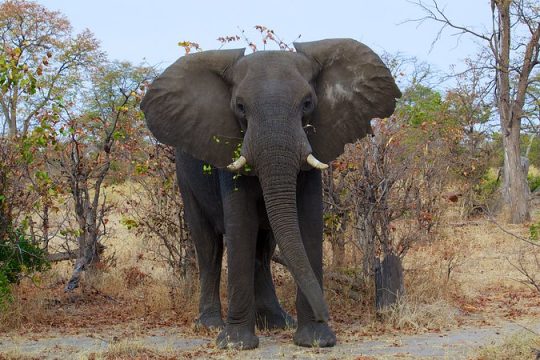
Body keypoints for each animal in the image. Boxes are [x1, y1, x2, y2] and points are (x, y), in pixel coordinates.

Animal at [139, 38, 400, 348]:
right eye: (240, 107)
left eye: (307, 103)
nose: (326, 314)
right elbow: (240, 227)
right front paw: (235, 344)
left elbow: (307, 223)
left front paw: (316, 340)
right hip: (185, 179)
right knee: (208, 245)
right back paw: (210, 325)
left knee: (262, 249)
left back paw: (276, 323)